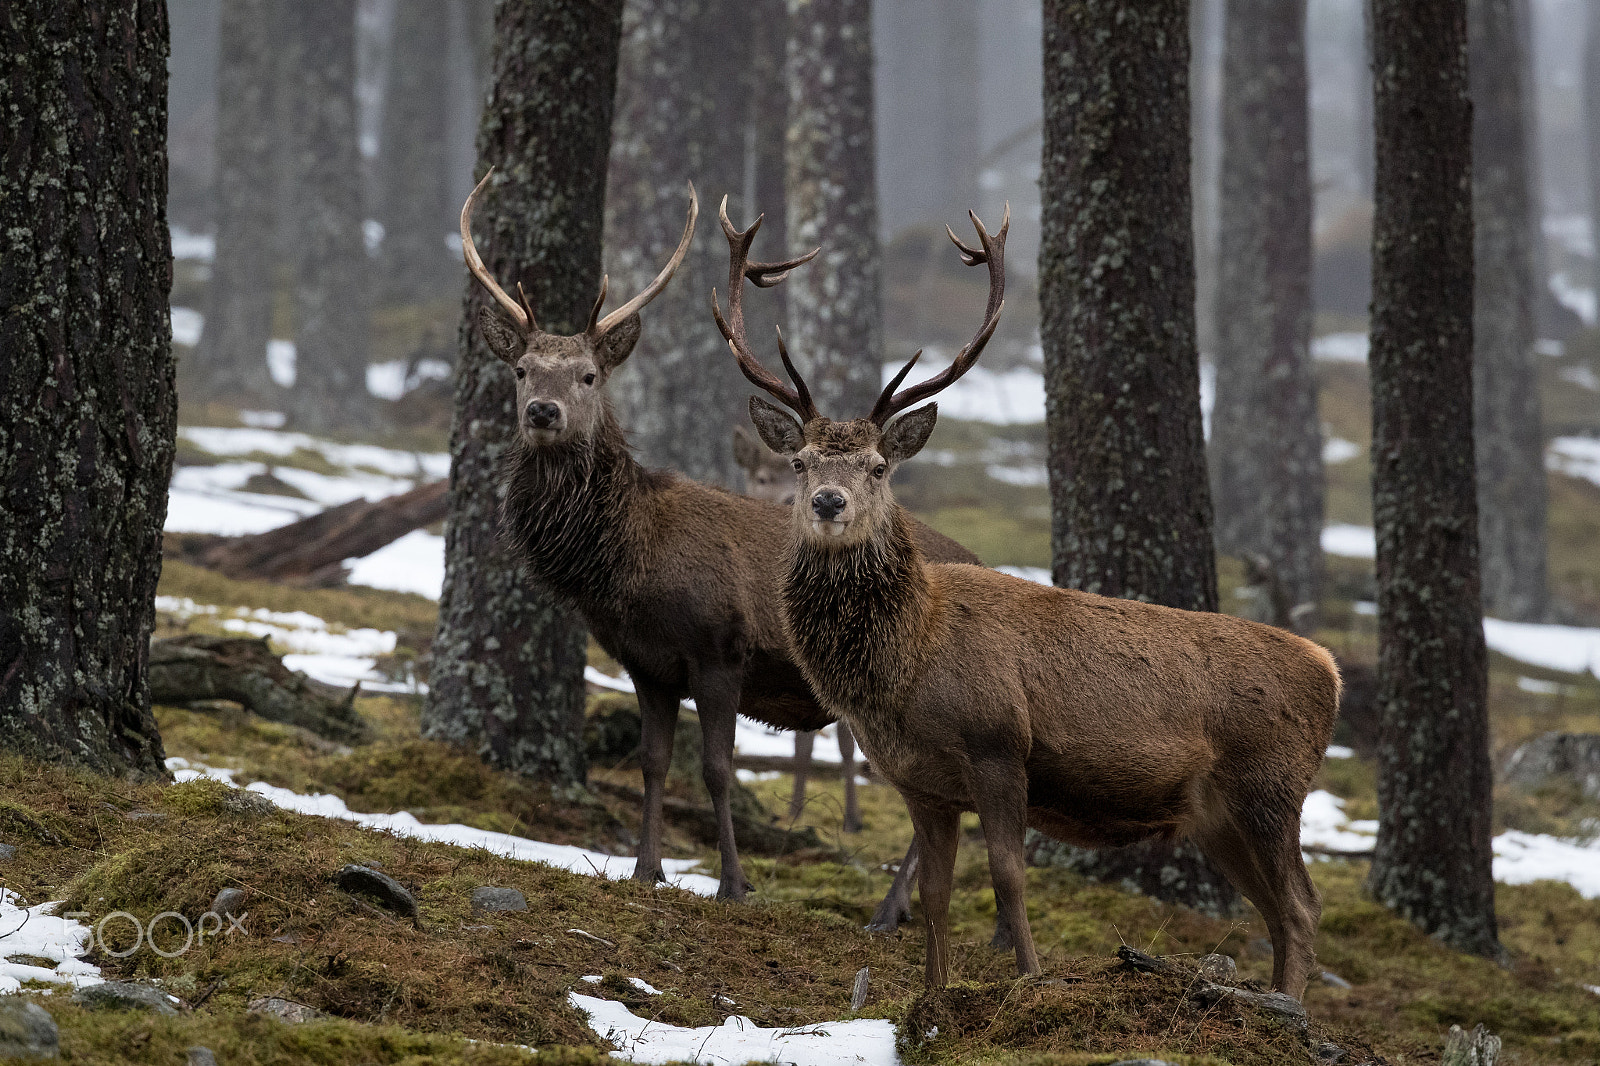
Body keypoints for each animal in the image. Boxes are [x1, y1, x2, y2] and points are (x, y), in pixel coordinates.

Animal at [458, 171, 990, 928]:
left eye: (589, 375)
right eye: (523, 370)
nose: (543, 411)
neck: (630, 565)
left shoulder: (720, 648)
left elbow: (716, 768)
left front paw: (733, 883)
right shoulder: (646, 663)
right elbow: (653, 762)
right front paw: (646, 870)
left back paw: (891, 912)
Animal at [715, 199, 1341, 1000]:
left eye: (879, 467)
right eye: (799, 461)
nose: (828, 501)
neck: (910, 660)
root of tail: (1330, 669)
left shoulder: (999, 746)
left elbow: (1009, 879)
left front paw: (1029, 982)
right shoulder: (922, 782)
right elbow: (935, 892)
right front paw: (931, 996)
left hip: (1272, 786)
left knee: (1300, 907)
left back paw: (1286, 1009)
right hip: (1218, 814)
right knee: (1277, 910)